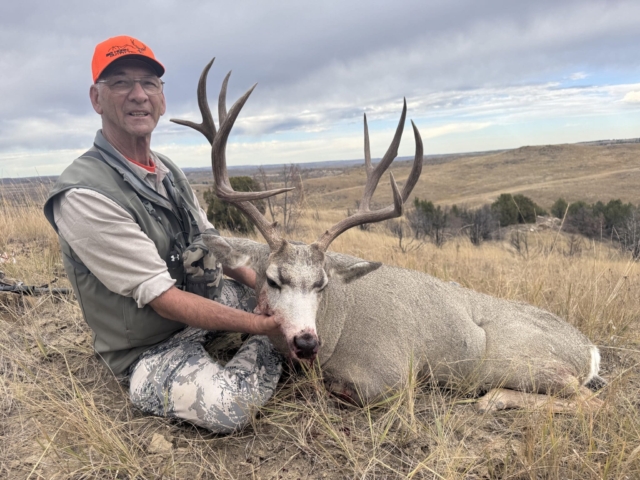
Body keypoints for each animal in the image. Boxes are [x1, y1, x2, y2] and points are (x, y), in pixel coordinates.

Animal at [171, 59, 605, 413]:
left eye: (322, 284)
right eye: (273, 279)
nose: (307, 343)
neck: (336, 324)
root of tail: (589, 350)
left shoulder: (392, 377)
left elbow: (337, 391)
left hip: (520, 363)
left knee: (590, 400)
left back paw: (492, 399)